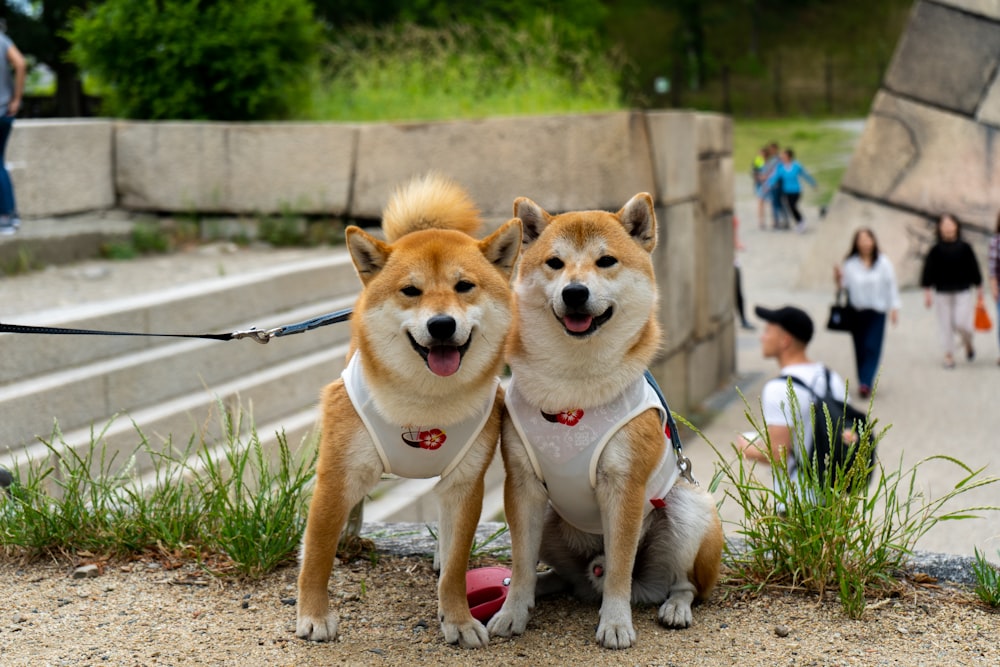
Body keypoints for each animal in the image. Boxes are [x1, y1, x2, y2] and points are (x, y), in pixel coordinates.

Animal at [294, 175, 524, 648]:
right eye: (411, 291)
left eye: (464, 286)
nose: (441, 324)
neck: (425, 403)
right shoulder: (336, 474)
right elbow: (317, 556)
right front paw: (314, 615)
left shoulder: (465, 484)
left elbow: (456, 567)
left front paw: (457, 620)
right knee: (354, 507)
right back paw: (350, 534)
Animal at [488, 194, 724, 652]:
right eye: (555, 263)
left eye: (606, 261)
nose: (575, 292)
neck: (572, 391)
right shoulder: (522, 485)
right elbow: (521, 561)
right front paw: (512, 611)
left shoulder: (624, 486)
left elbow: (619, 569)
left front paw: (615, 623)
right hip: (550, 516)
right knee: (565, 577)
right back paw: (539, 588)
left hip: (690, 509)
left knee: (684, 584)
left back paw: (675, 607)